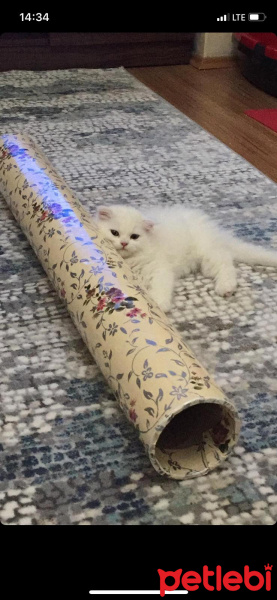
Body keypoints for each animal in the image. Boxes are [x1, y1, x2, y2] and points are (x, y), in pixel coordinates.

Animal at [94, 204, 276, 312]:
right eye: (114, 233)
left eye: (134, 236)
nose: (124, 243)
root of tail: (217, 232)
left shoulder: (159, 268)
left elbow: (161, 287)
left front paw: (160, 305)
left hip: (207, 255)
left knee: (225, 264)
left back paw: (226, 287)